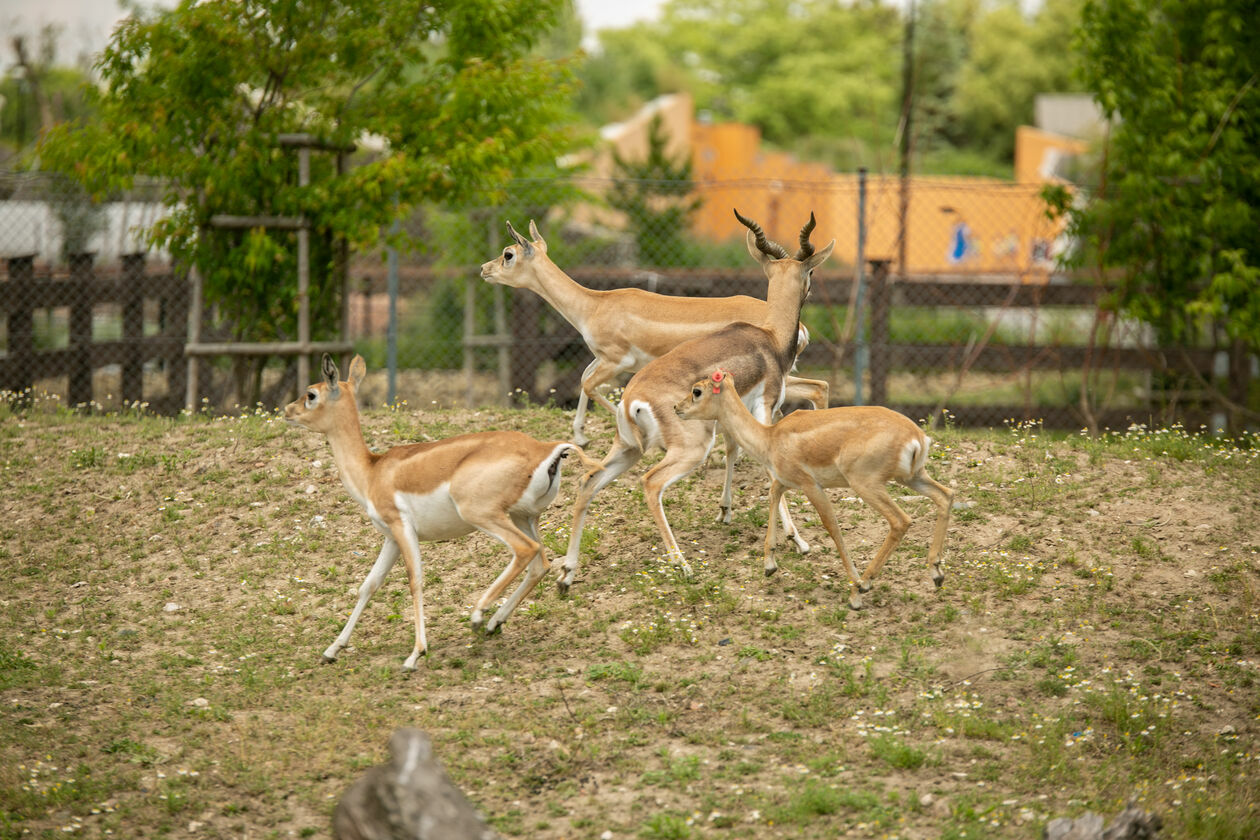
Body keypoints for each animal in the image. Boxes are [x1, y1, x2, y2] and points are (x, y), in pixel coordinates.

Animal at [283, 352, 592, 664]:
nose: (287, 410)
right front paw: (332, 650)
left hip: (484, 515)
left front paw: (415, 654)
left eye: (311, 394)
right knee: (540, 563)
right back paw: (494, 623)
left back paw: (478, 616)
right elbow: (368, 585)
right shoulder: (391, 537)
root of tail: (546, 449)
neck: (373, 472)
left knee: (525, 550)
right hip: (523, 516)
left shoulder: (402, 528)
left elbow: (415, 581)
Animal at [554, 210, 836, 591]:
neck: (770, 339)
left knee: (588, 482)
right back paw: (682, 565)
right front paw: (798, 541)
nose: (812, 289)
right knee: (651, 483)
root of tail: (632, 398)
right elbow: (770, 468)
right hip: (691, 449)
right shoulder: (765, 406)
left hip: (628, 449)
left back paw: (567, 574)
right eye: (812, 272)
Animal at [675, 367, 947, 612]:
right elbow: (772, 496)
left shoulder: (811, 486)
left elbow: (832, 526)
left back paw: (863, 586)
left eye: (697, 391)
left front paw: (855, 588)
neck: (770, 437)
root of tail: (917, 438)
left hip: (867, 485)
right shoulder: (785, 481)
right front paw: (769, 565)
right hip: (912, 478)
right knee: (945, 496)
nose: (677, 407)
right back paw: (936, 573)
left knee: (901, 520)